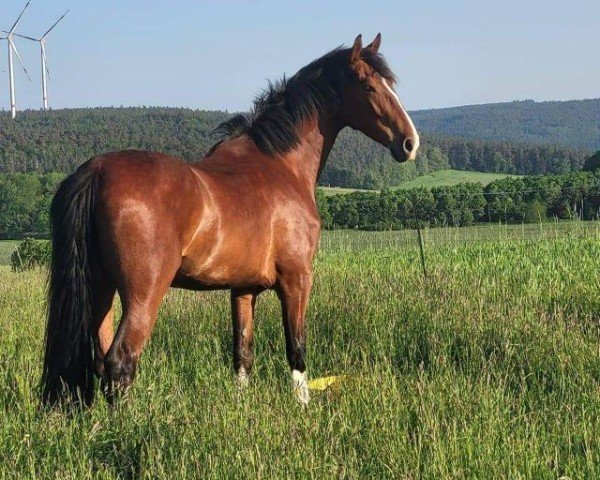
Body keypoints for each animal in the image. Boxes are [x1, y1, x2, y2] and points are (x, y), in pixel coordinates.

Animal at [42, 33, 420, 406]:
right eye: (369, 87)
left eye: (390, 84)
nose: (409, 143)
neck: (280, 165)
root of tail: (96, 170)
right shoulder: (297, 278)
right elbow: (296, 349)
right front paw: (303, 408)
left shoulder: (243, 288)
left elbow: (243, 354)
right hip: (143, 294)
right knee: (121, 360)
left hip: (101, 289)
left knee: (100, 359)